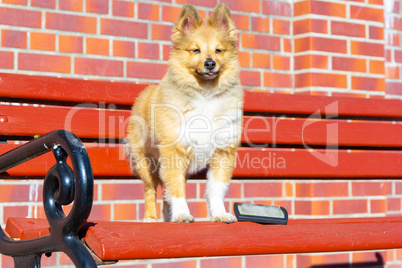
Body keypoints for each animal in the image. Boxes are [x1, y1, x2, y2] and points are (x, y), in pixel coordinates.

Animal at [127, 3, 243, 223]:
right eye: (196, 50)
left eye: (219, 50)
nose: (210, 63)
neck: (206, 94)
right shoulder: (173, 152)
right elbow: (176, 188)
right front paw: (182, 214)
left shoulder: (223, 152)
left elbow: (216, 189)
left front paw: (220, 214)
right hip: (145, 162)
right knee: (150, 190)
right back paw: (151, 218)